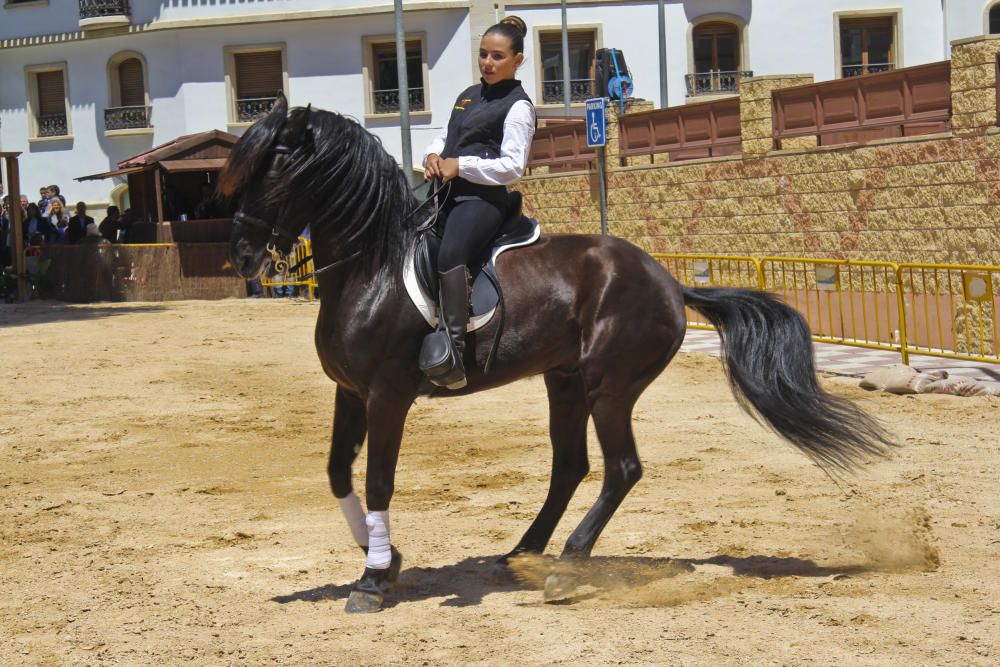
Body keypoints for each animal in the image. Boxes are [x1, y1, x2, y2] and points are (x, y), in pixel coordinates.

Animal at [217, 95, 892, 616]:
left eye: (272, 171)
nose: (243, 258)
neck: (370, 268)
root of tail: (668, 281)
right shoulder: (350, 391)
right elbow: (338, 473)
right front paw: (386, 559)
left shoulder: (388, 395)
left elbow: (379, 480)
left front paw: (374, 580)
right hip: (563, 379)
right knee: (570, 465)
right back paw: (524, 552)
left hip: (608, 384)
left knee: (621, 469)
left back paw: (567, 567)